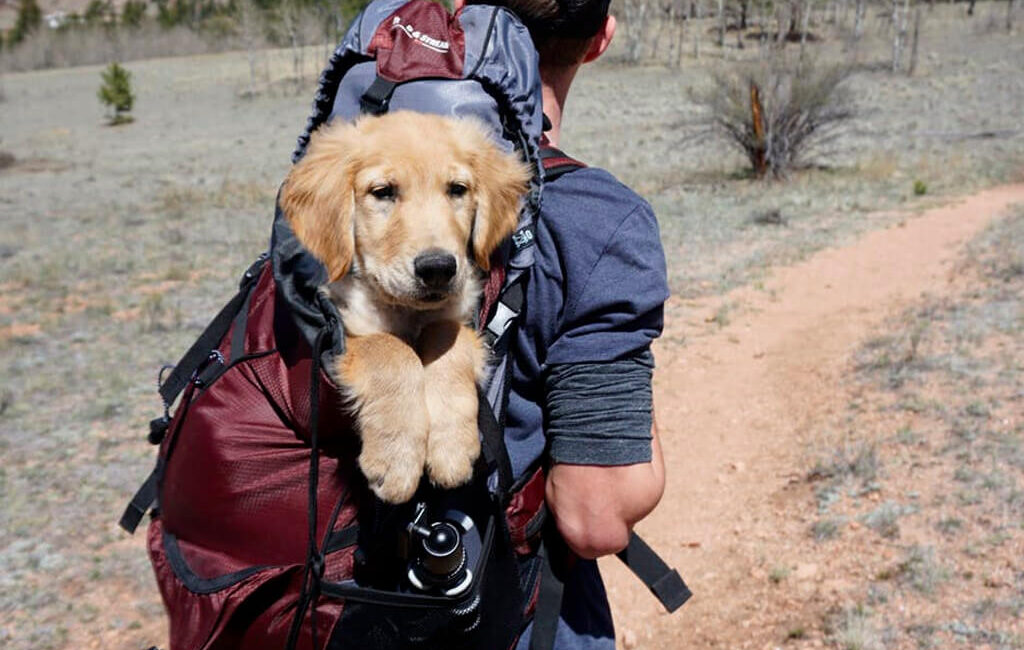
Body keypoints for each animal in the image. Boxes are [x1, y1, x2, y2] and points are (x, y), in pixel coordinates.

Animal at [278, 112, 528, 503]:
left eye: (457, 189)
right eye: (383, 192)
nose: (438, 268)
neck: (407, 311)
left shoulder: (458, 315)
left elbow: (447, 339)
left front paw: (451, 446)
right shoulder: (345, 327)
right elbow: (391, 350)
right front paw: (396, 459)